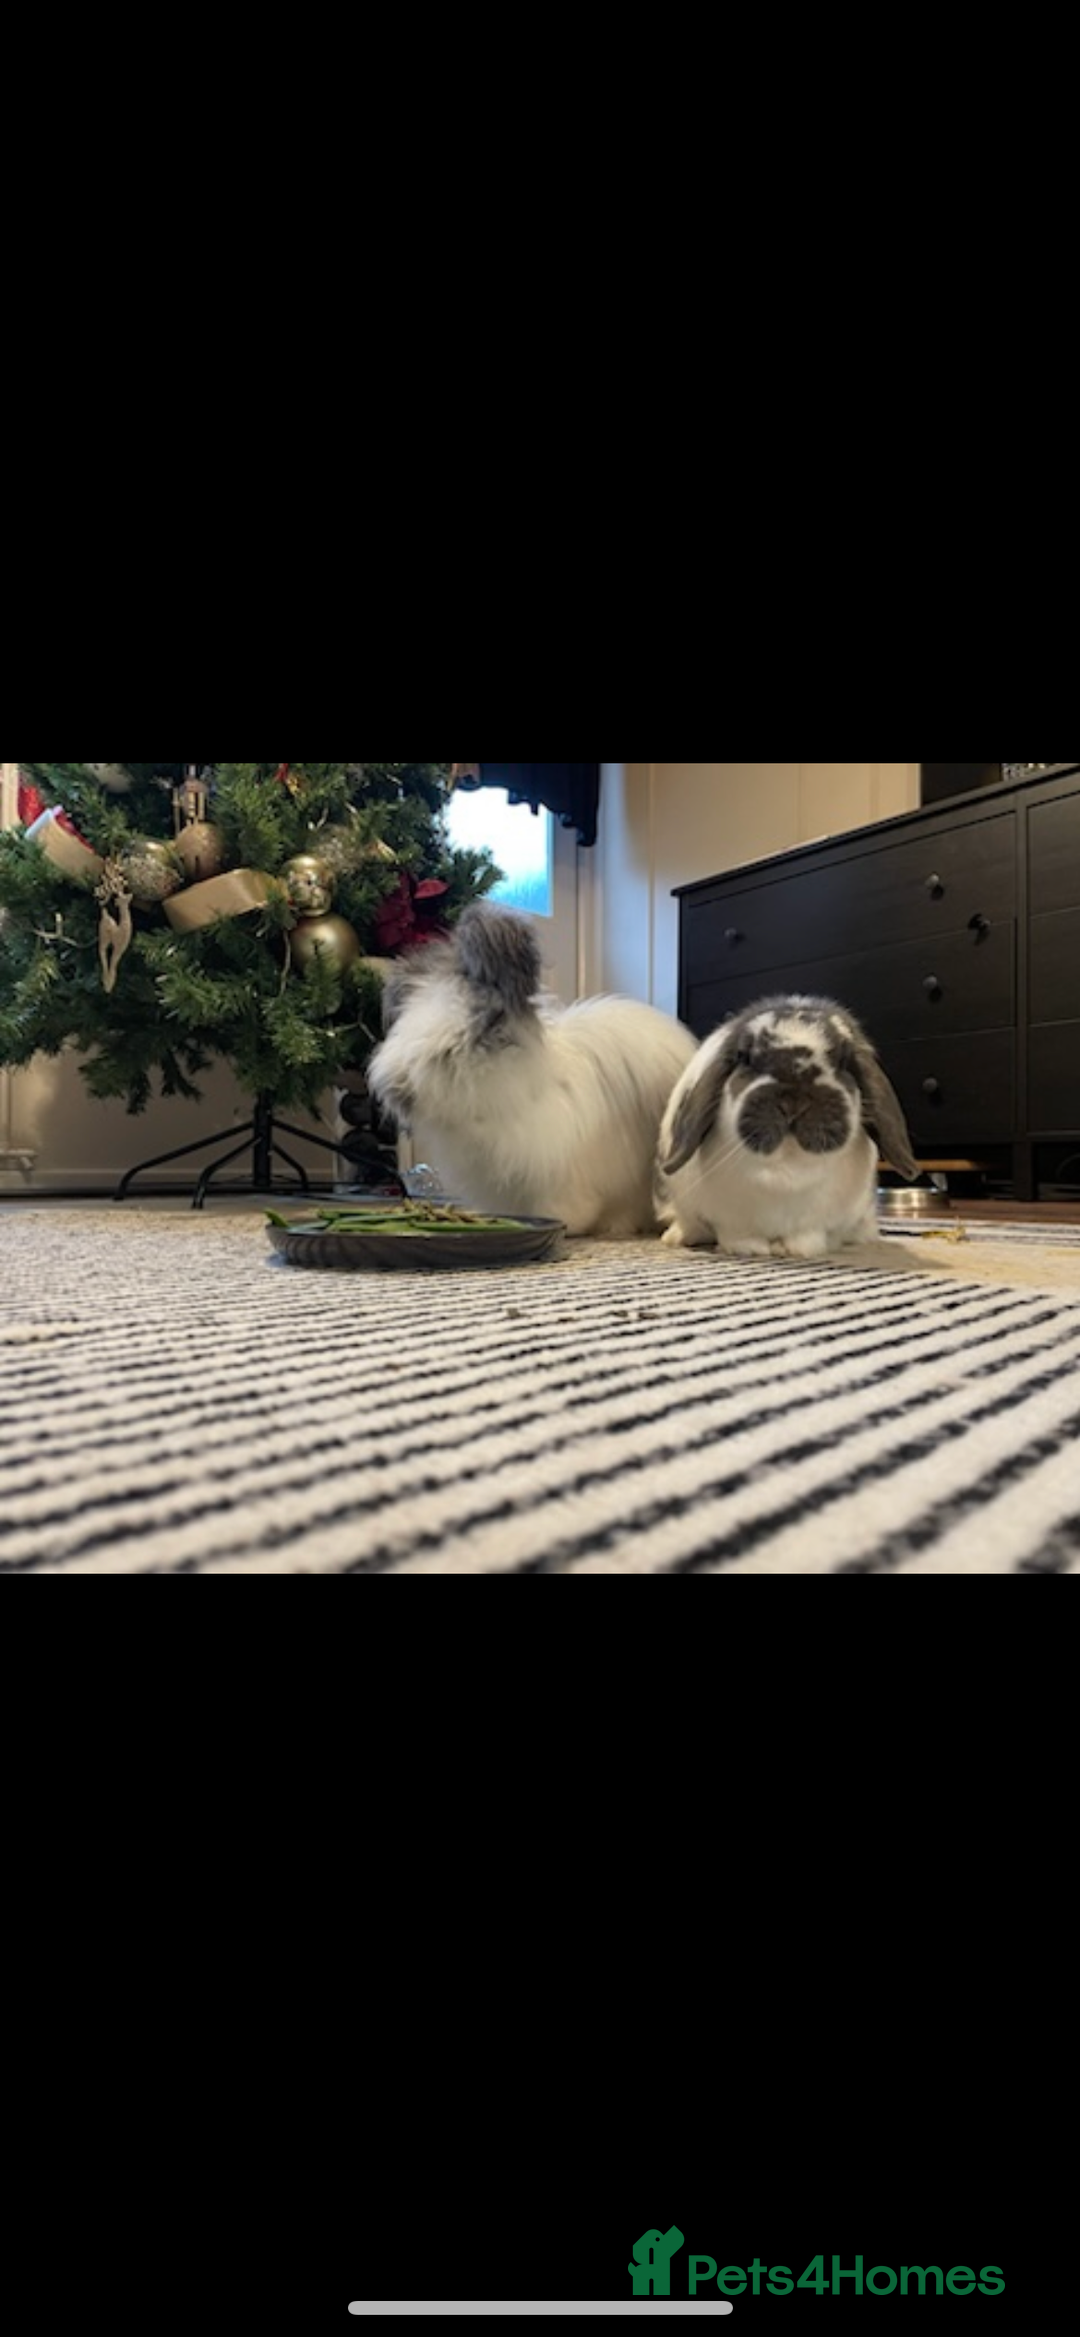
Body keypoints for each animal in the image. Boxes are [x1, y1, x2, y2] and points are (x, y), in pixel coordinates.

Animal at [656, 993, 920, 1260]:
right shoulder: (729, 1220)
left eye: (844, 1061)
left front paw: (791, 1250)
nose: (794, 1101)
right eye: (745, 1058)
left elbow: (807, 1238)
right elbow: (737, 1235)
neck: (787, 1165)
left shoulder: (815, 1224)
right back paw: (677, 1237)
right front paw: (750, 1249)